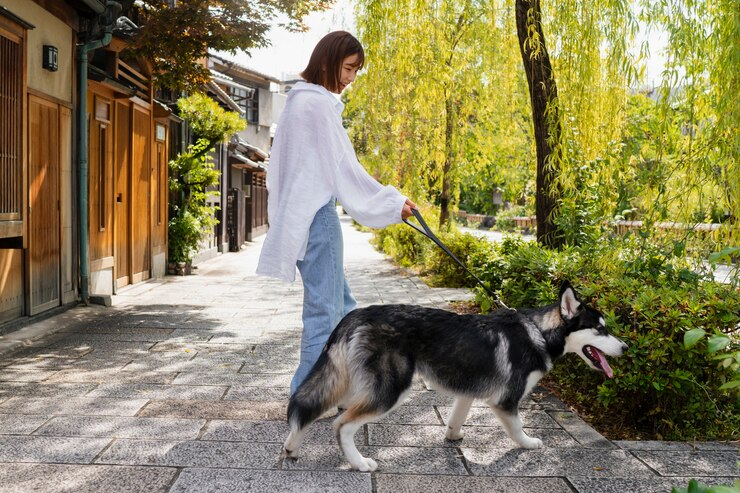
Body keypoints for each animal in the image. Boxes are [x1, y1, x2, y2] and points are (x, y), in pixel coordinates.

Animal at [282, 280, 624, 468]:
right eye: (599, 329)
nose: (626, 346)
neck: (538, 332)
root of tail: (356, 314)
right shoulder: (506, 402)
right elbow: (516, 429)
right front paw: (528, 444)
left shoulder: (467, 392)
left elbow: (456, 419)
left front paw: (453, 437)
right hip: (390, 390)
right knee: (341, 424)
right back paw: (359, 463)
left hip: (348, 383)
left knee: (308, 407)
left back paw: (292, 446)